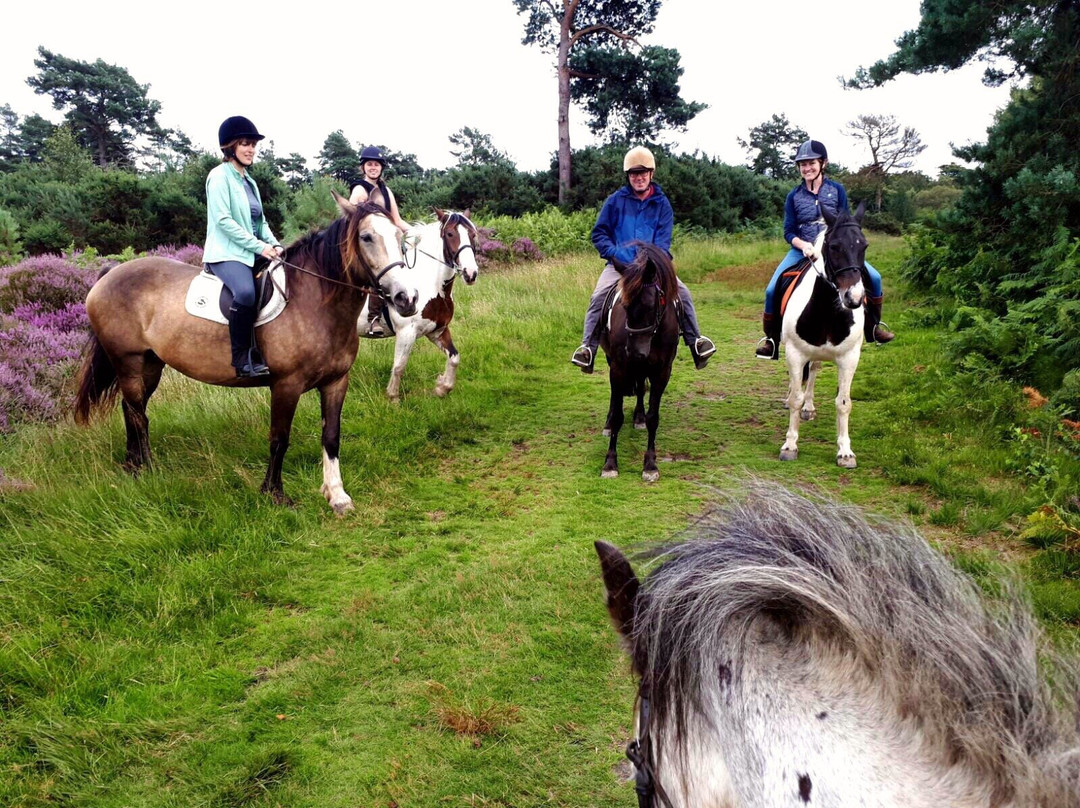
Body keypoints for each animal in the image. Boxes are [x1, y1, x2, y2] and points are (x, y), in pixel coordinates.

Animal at [360, 206, 479, 399]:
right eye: (450, 234)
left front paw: (442, 387)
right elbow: (399, 366)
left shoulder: (437, 331)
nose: (471, 273)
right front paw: (393, 397)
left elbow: (454, 357)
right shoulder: (406, 333)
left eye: (472, 234)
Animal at [596, 241, 678, 479]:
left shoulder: (662, 371)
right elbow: (617, 415)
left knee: (641, 389)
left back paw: (639, 417)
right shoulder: (619, 367)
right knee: (616, 397)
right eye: (624, 306)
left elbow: (653, 417)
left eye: (651, 306)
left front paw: (650, 464)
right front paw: (610, 463)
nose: (634, 352)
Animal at [777, 200, 868, 466]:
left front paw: (845, 451)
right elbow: (796, 398)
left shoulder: (849, 358)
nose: (854, 298)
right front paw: (790, 445)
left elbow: (844, 403)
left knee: (815, 370)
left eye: (864, 245)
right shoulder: (795, 354)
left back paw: (809, 407)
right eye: (834, 246)